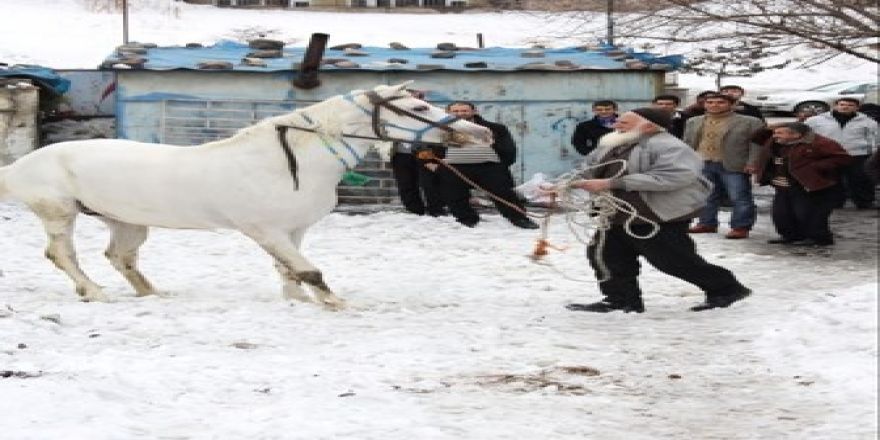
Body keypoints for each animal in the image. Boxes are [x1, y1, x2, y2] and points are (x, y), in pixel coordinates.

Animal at [0, 83, 496, 310]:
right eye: (417, 107)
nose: (480, 133)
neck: (288, 163)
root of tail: (19, 166)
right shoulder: (266, 230)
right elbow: (308, 270)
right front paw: (335, 304)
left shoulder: (292, 229)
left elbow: (291, 269)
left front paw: (298, 302)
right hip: (59, 213)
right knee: (62, 254)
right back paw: (94, 292)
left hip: (127, 222)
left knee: (120, 256)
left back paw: (152, 294)